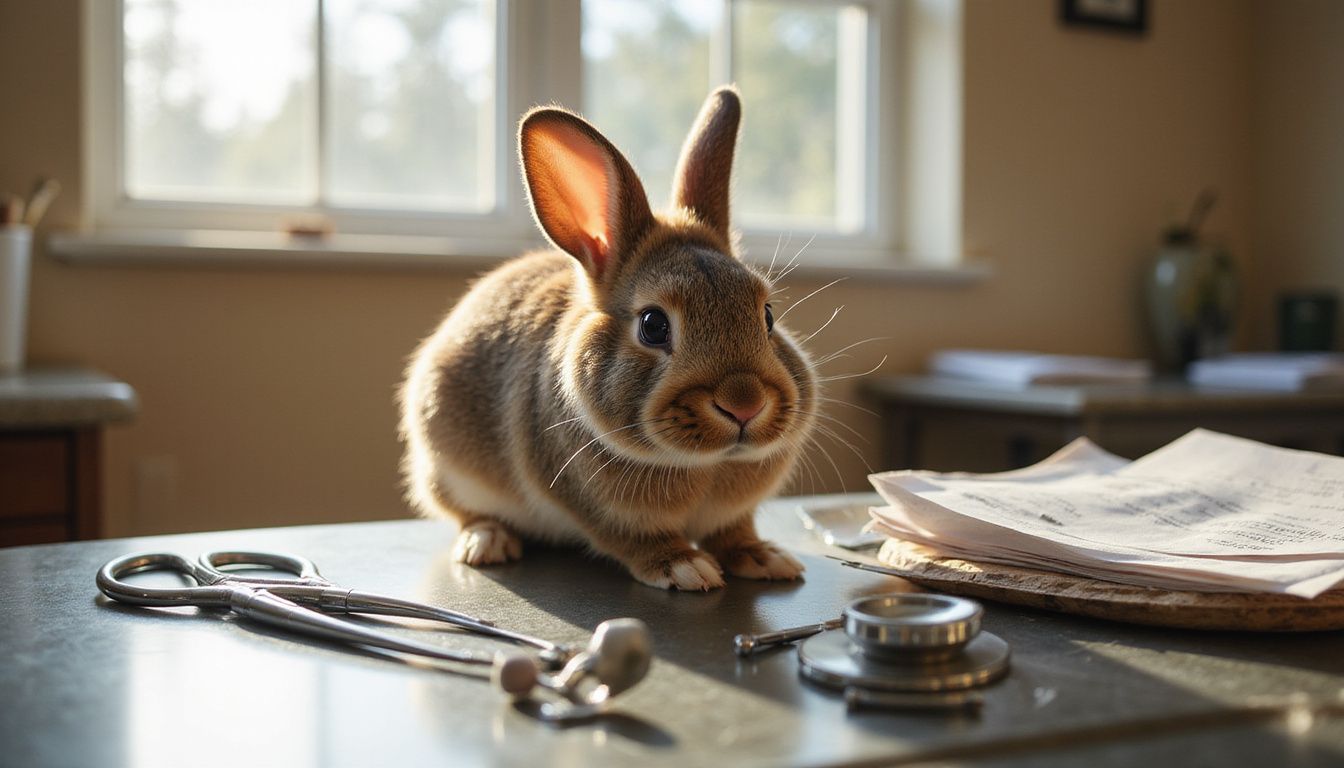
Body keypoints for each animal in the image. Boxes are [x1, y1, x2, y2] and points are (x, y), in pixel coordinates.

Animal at [399, 86, 817, 590]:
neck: (708, 465)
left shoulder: (732, 516)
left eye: (768, 315)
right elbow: (634, 539)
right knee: (463, 511)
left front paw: (764, 558)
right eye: (653, 325)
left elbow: (734, 532)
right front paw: (685, 567)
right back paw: (487, 541)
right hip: (446, 466)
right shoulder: (596, 507)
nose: (744, 404)